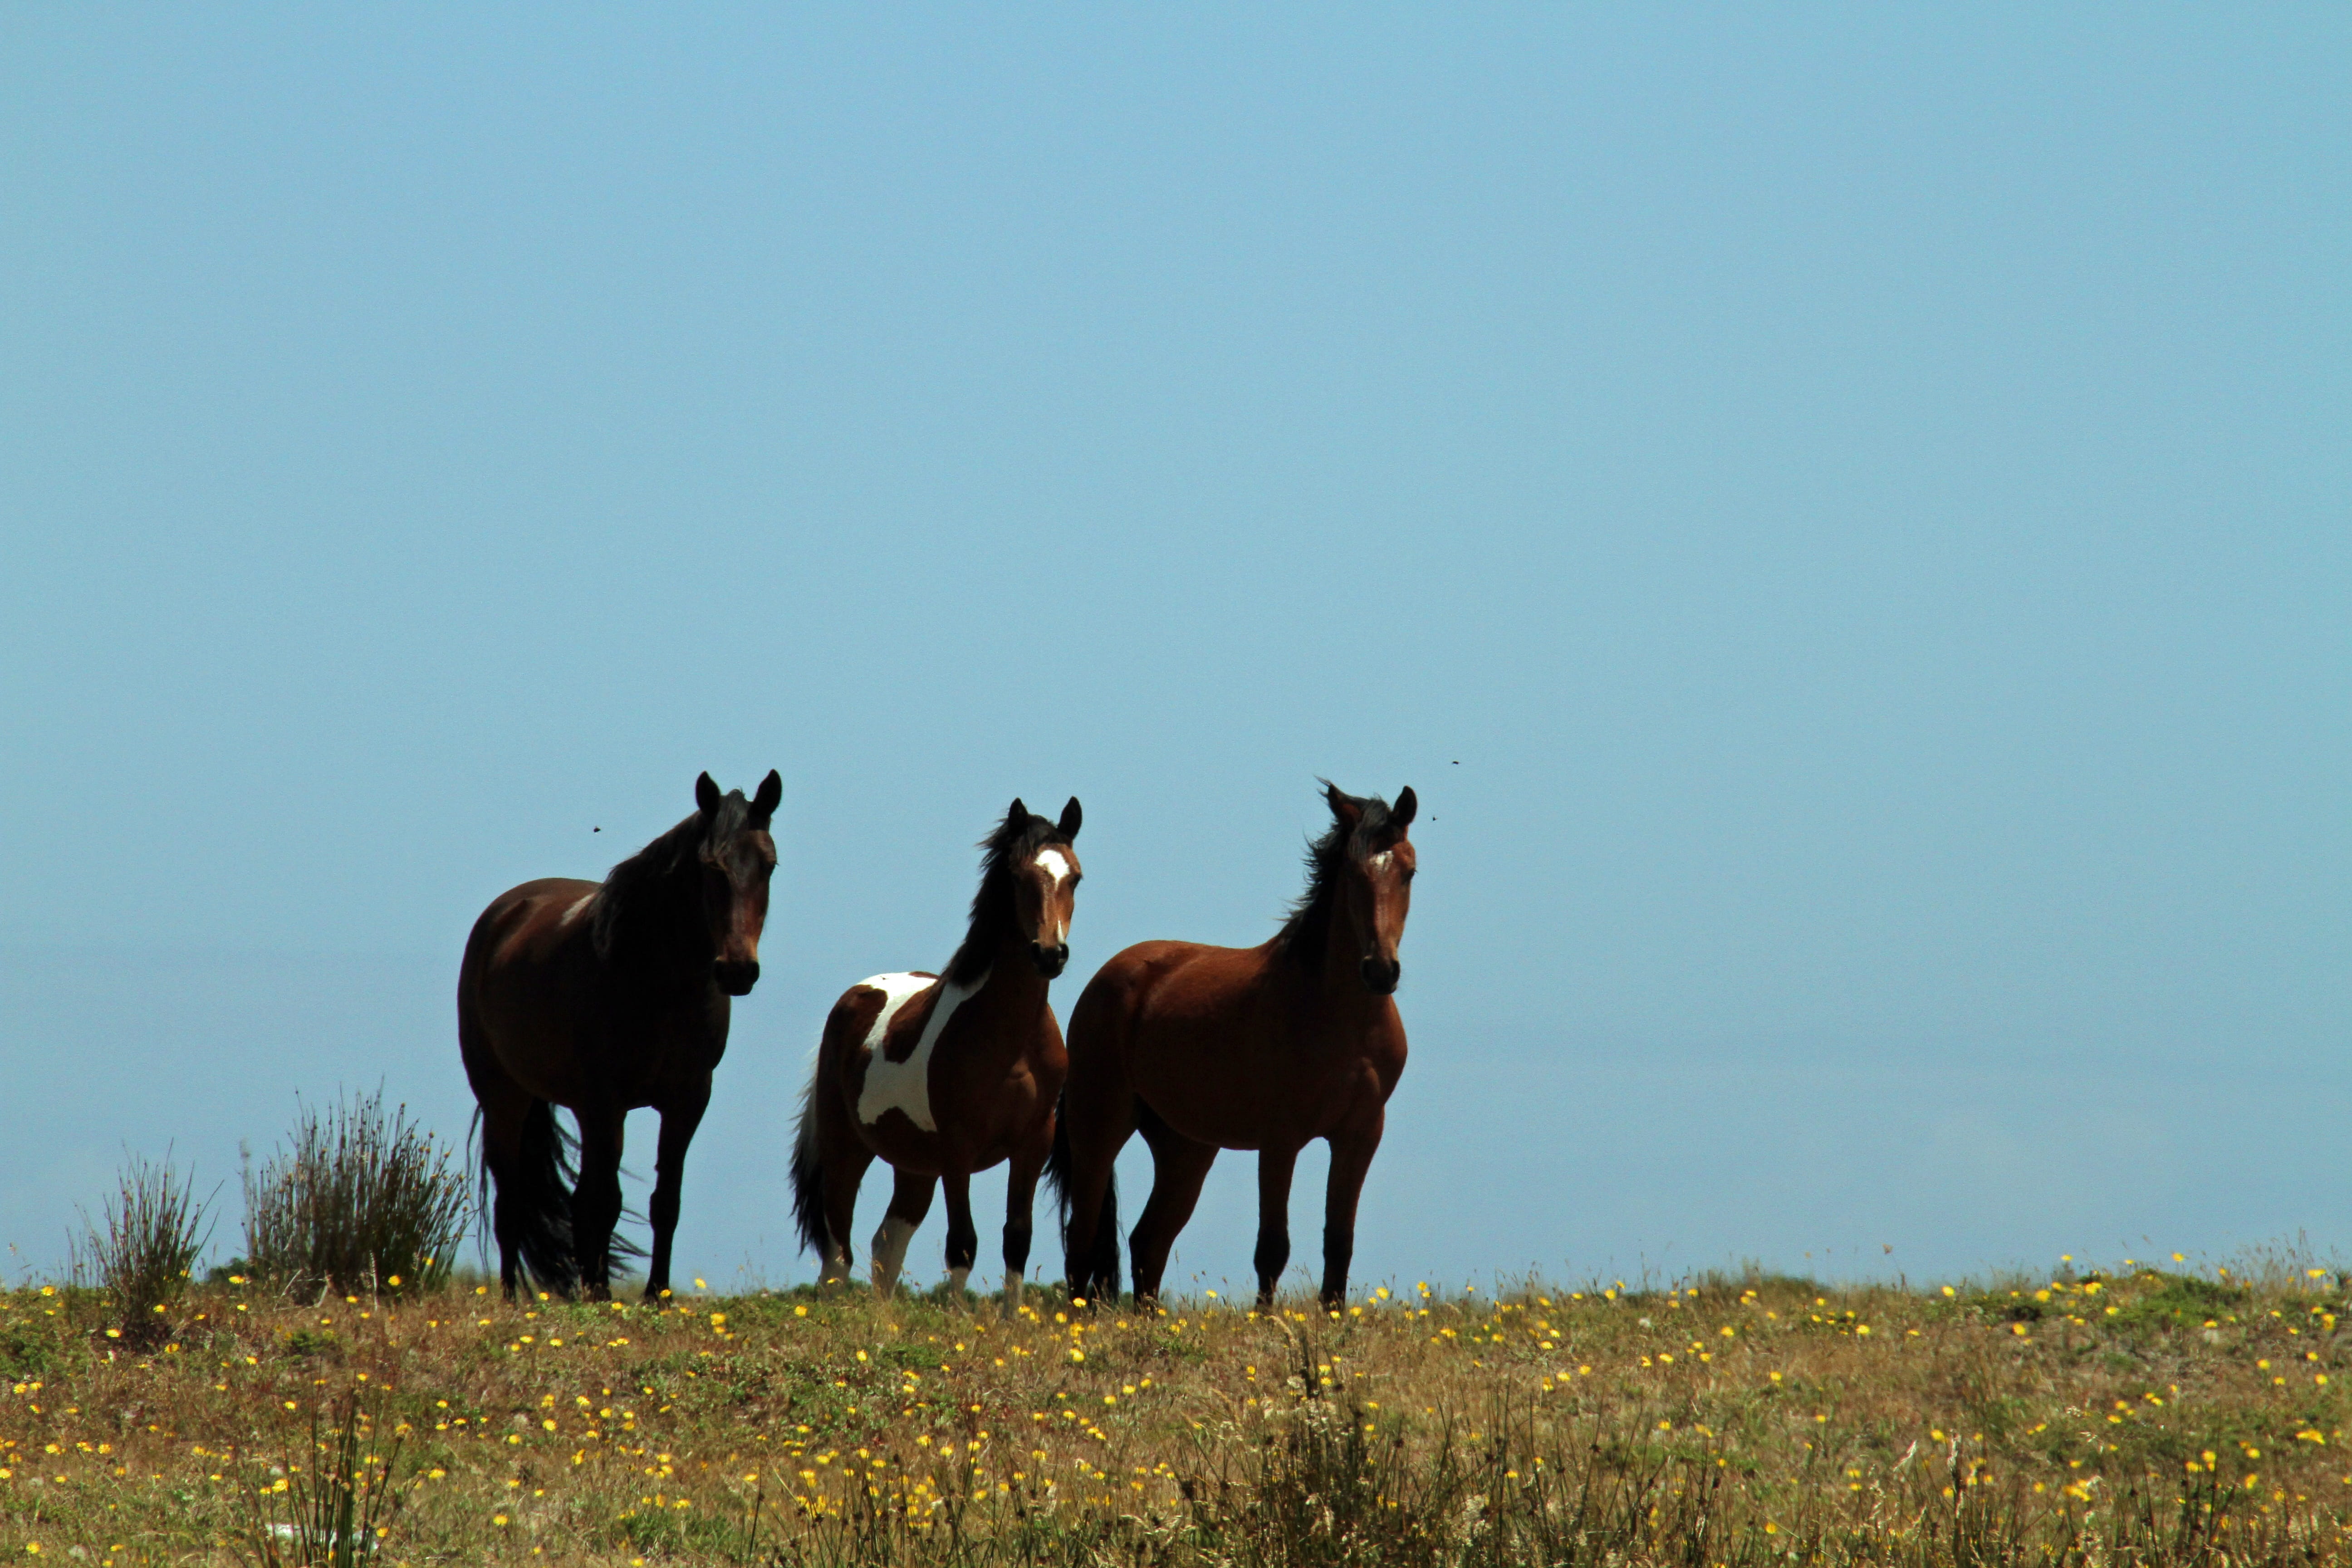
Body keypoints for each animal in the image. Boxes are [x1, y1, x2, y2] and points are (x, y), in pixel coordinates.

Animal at [458, 770, 781, 1300]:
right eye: (709, 866)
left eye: (769, 865)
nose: (737, 971)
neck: (657, 978)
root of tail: (505, 913)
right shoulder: (605, 1100)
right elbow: (607, 1200)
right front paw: (604, 1296)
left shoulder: (687, 1100)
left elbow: (665, 1202)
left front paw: (656, 1296)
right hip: (505, 1096)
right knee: (513, 1202)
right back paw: (511, 1297)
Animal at [790, 797, 1083, 1311]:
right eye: (1019, 876)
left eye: (1076, 878)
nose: (1050, 954)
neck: (1013, 1045)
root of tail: (855, 997)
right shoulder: (958, 1150)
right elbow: (962, 1242)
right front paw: (958, 1318)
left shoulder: (1033, 1143)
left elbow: (1017, 1238)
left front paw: (1010, 1319)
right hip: (847, 1148)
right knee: (838, 1250)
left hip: (914, 1168)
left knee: (886, 1244)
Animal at [1049, 781, 1415, 1311]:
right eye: (1352, 873)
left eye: (1409, 871)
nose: (1381, 971)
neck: (1343, 1020)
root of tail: (1106, 979)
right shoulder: (1281, 1139)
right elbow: (1273, 1247)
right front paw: (1269, 1322)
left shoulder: (1360, 1135)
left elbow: (1339, 1242)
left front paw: (1332, 1318)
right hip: (1099, 1126)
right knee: (1083, 1238)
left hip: (1186, 1149)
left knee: (1148, 1242)